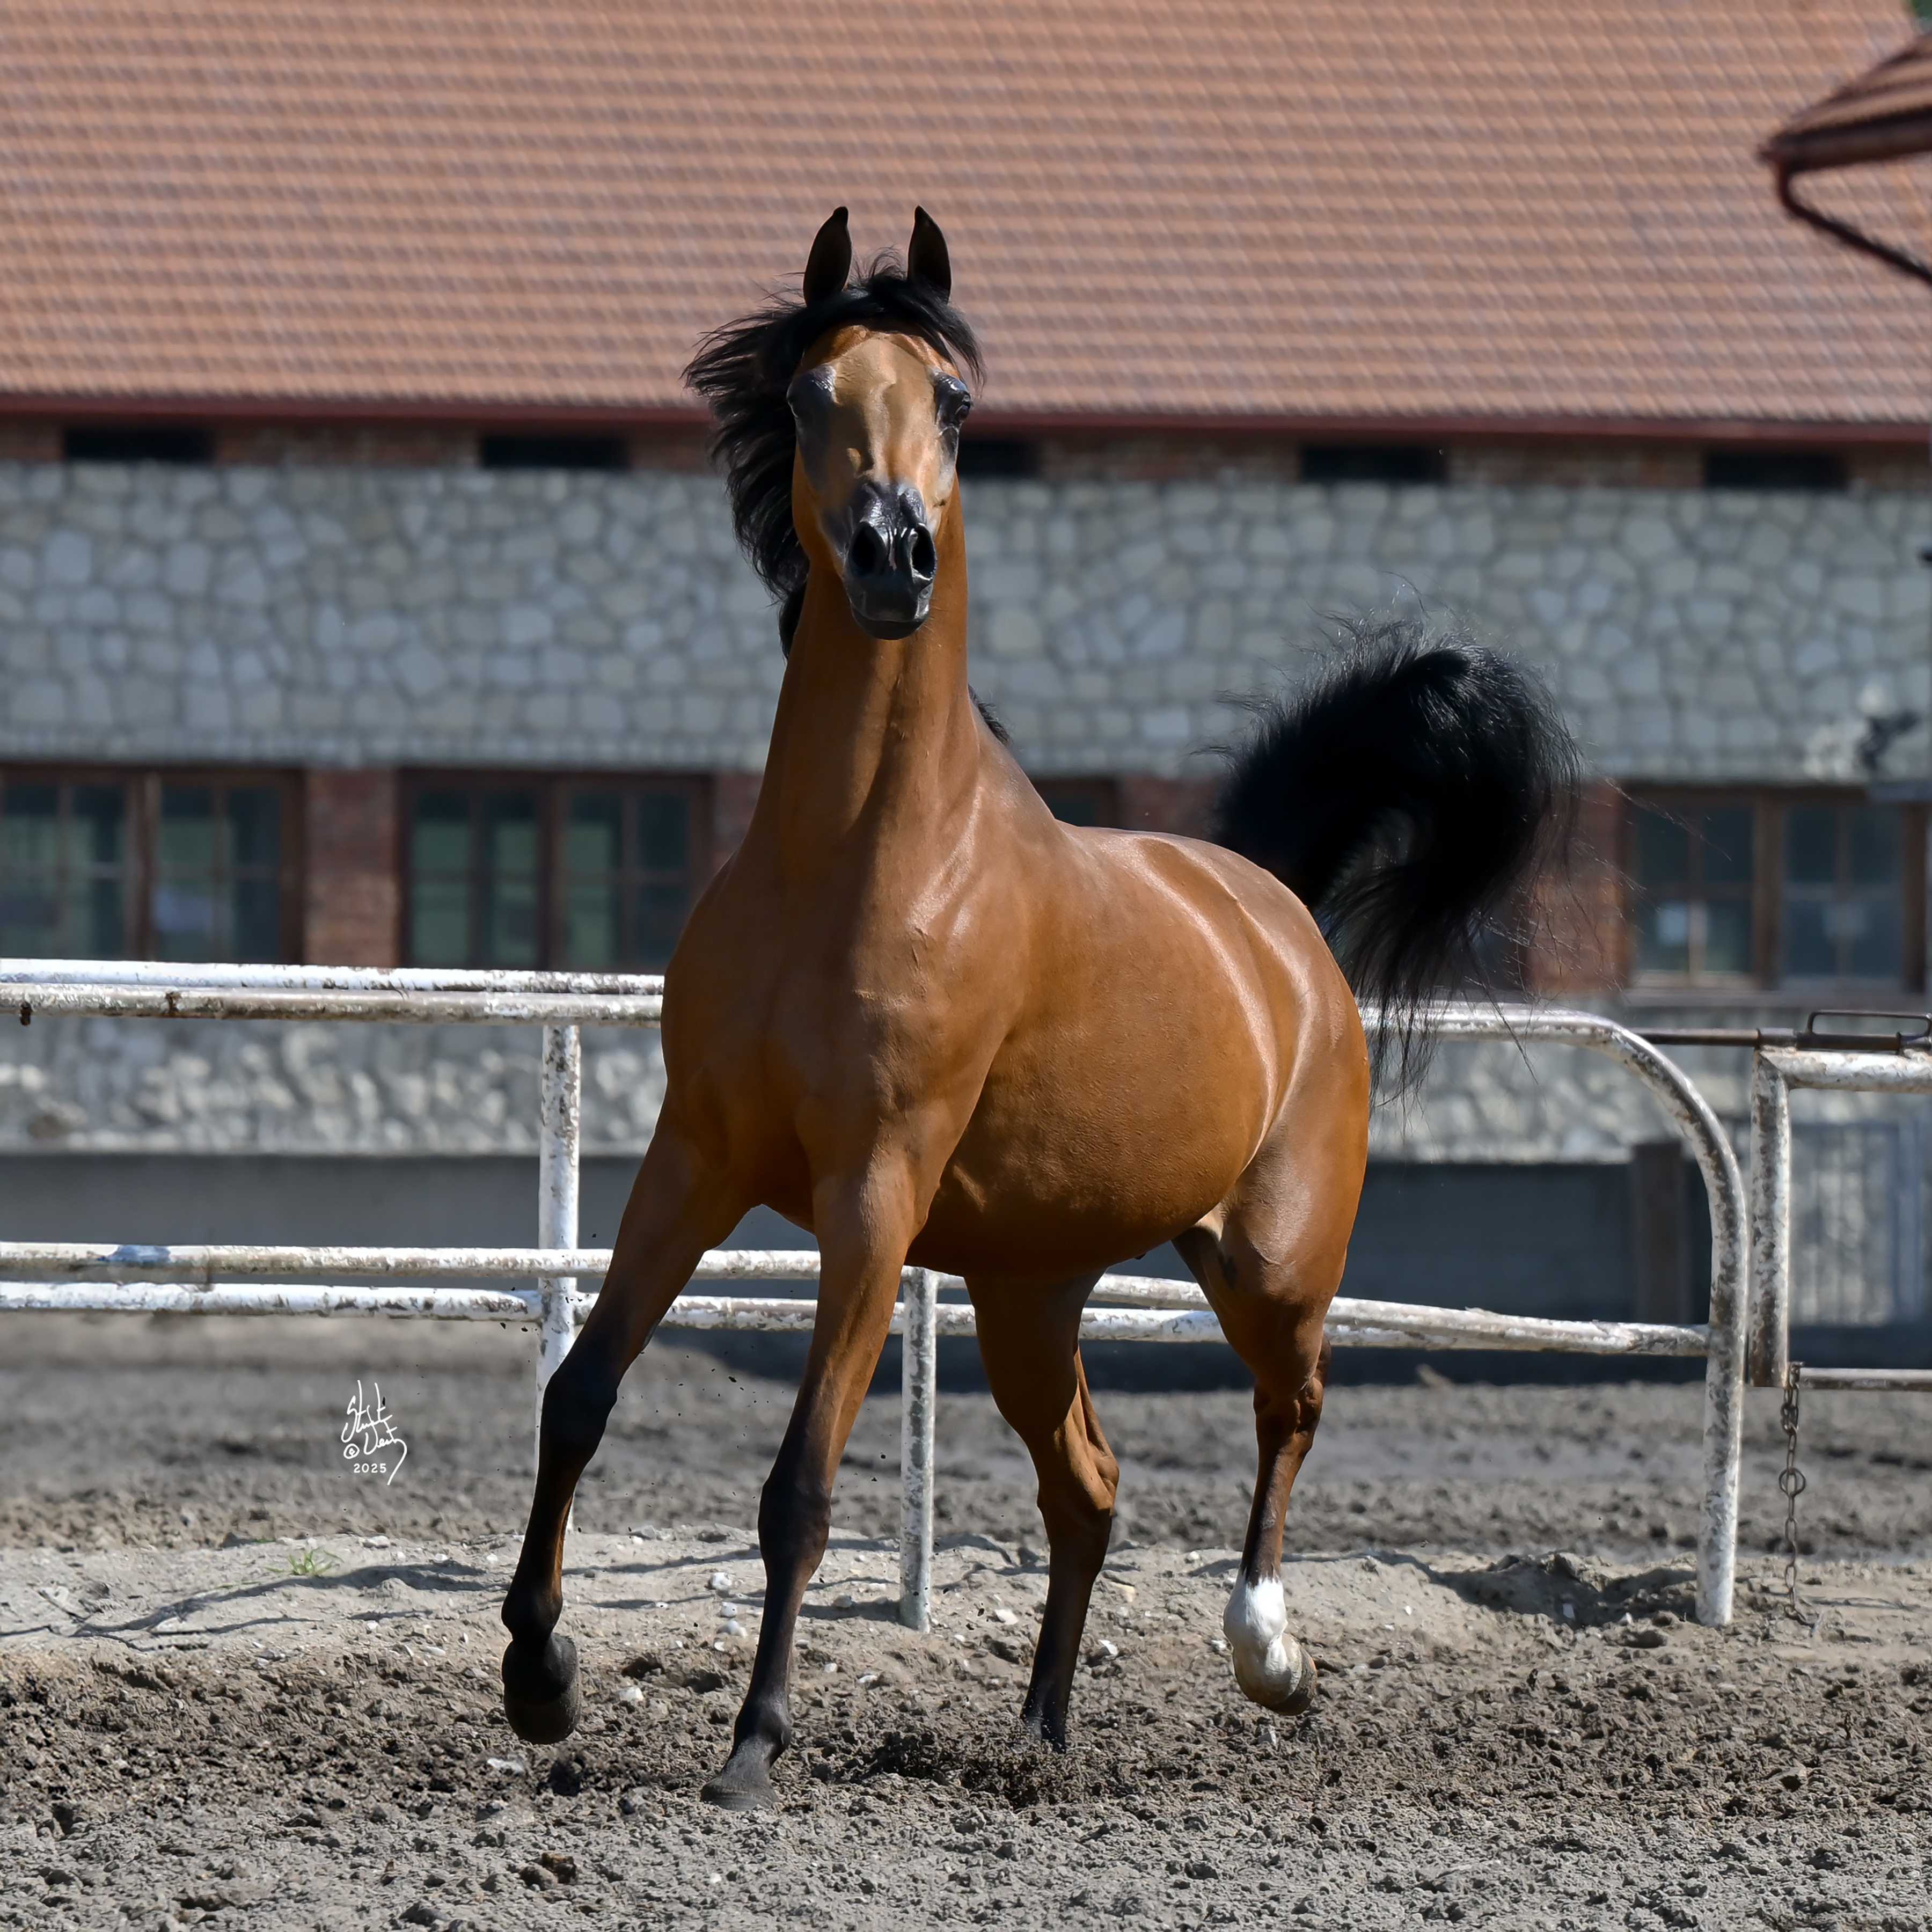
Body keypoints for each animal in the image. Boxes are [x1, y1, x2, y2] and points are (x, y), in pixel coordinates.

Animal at [499, 207, 1580, 1809]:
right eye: (810, 396)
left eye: (954, 402)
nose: (894, 555)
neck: (859, 860)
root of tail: (1274, 912)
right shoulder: (696, 1154)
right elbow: (578, 1394)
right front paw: (539, 1678)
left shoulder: (873, 1196)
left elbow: (802, 1482)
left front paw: (754, 1743)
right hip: (1028, 1294)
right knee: (1090, 1488)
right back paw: (1040, 1732)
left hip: (1269, 1262)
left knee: (1293, 1408)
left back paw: (1268, 1649)